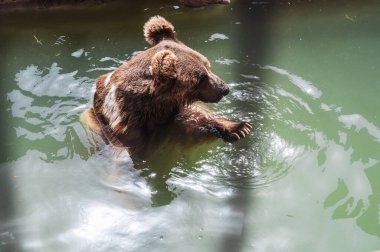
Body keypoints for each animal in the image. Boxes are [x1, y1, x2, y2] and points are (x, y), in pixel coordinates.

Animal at [81, 15, 251, 155]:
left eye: (208, 67)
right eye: (200, 78)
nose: (224, 89)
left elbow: (194, 116)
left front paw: (240, 127)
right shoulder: (129, 135)